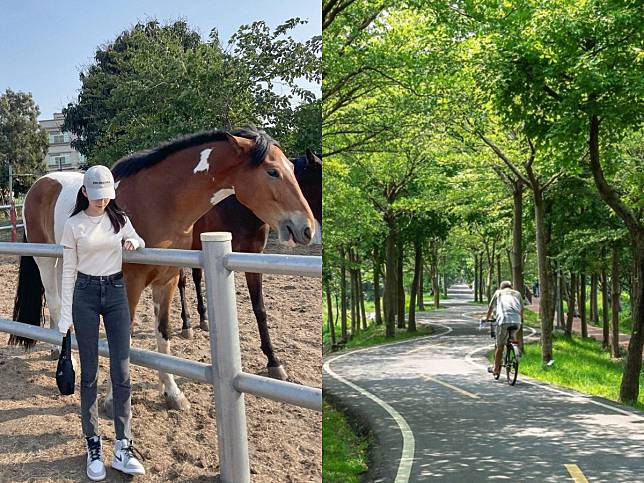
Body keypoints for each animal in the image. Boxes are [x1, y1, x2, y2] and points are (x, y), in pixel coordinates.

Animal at [177, 151, 320, 382]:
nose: (308, 231)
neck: (238, 208)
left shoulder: (253, 257)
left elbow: (259, 308)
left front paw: (273, 361)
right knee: (181, 283)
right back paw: (186, 324)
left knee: (197, 278)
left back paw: (203, 319)